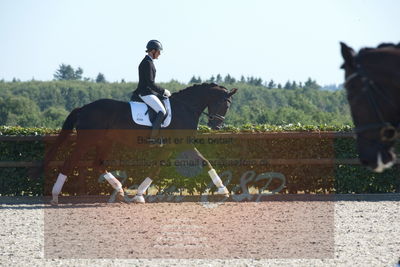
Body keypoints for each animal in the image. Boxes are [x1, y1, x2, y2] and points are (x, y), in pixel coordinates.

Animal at [45, 84, 236, 205]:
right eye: (223, 104)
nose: (216, 126)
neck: (185, 108)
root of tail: (83, 108)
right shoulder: (184, 144)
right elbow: (205, 161)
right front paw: (223, 190)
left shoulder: (169, 147)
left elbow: (156, 168)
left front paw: (138, 195)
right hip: (86, 141)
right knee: (70, 162)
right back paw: (54, 196)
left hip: (106, 141)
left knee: (98, 164)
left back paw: (120, 191)